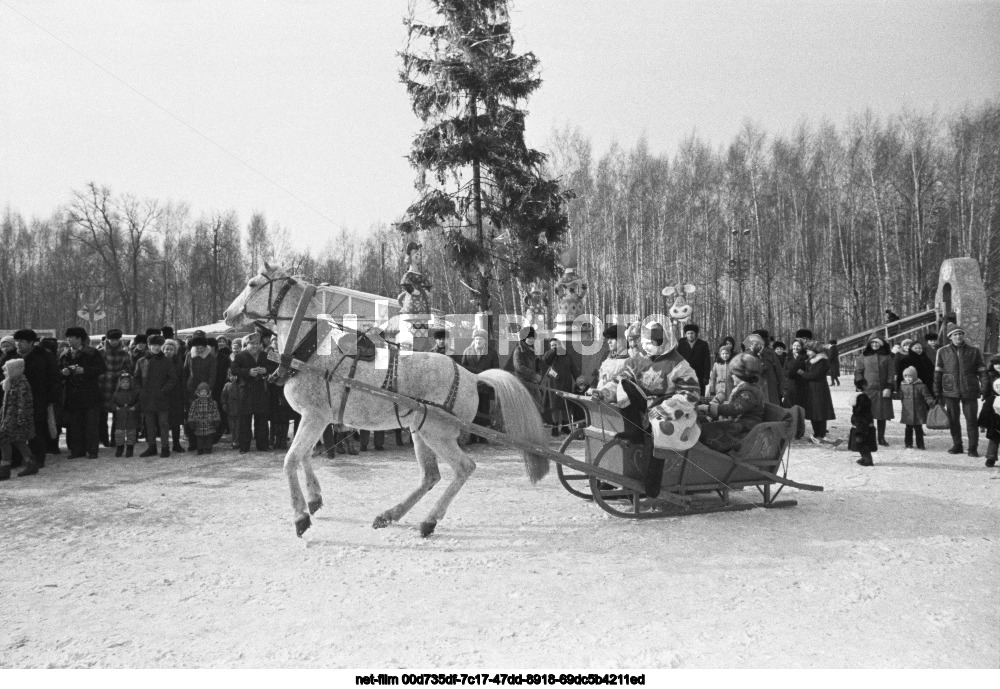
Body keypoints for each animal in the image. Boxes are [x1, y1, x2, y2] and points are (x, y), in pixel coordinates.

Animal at [221, 264, 548, 536]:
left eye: (252, 284)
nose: (226, 314)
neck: (310, 350)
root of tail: (471, 376)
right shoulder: (316, 419)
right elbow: (303, 456)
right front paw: (314, 499)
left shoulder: (315, 416)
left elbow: (290, 460)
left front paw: (300, 516)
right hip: (420, 431)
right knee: (430, 476)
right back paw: (390, 515)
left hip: (437, 433)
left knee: (464, 468)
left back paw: (428, 521)